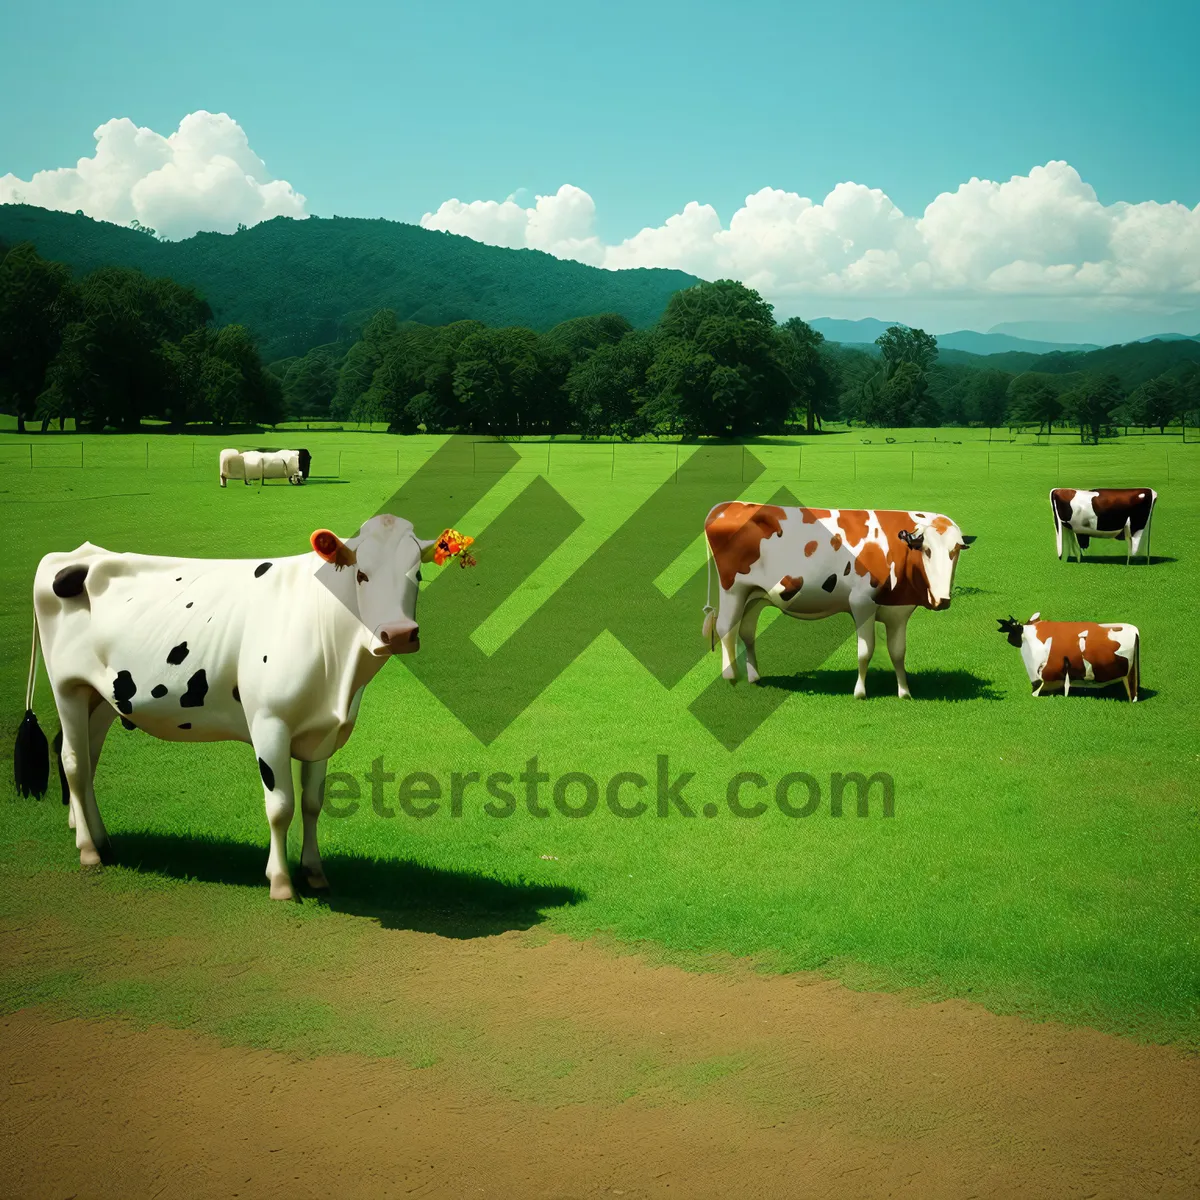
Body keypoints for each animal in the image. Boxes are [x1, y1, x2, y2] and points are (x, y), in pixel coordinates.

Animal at [15, 516, 472, 902]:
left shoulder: (321, 728)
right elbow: (281, 806)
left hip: (103, 698)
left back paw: (101, 838)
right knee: (73, 762)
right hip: (68, 687)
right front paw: (281, 882)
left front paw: (314, 872)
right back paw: (88, 850)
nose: (400, 633)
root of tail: (74, 556)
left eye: (418, 574)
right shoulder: (270, 723)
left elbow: (312, 801)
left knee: (88, 759)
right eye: (362, 574)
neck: (340, 670)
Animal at [700, 501, 969, 700]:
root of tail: (727, 506)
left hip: (754, 595)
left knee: (746, 630)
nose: (943, 599)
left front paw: (904, 692)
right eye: (927, 550)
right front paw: (860, 692)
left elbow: (898, 652)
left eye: (955, 551)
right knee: (726, 628)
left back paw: (754, 677)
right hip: (733, 588)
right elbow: (865, 651)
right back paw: (731, 676)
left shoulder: (899, 611)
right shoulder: (861, 602)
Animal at [993, 614, 1142, 700]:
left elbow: (1039, 690)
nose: (1009, 640)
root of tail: (1134, 630)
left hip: (1129, 675)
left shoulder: (1048, 672)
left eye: (1010, 629)